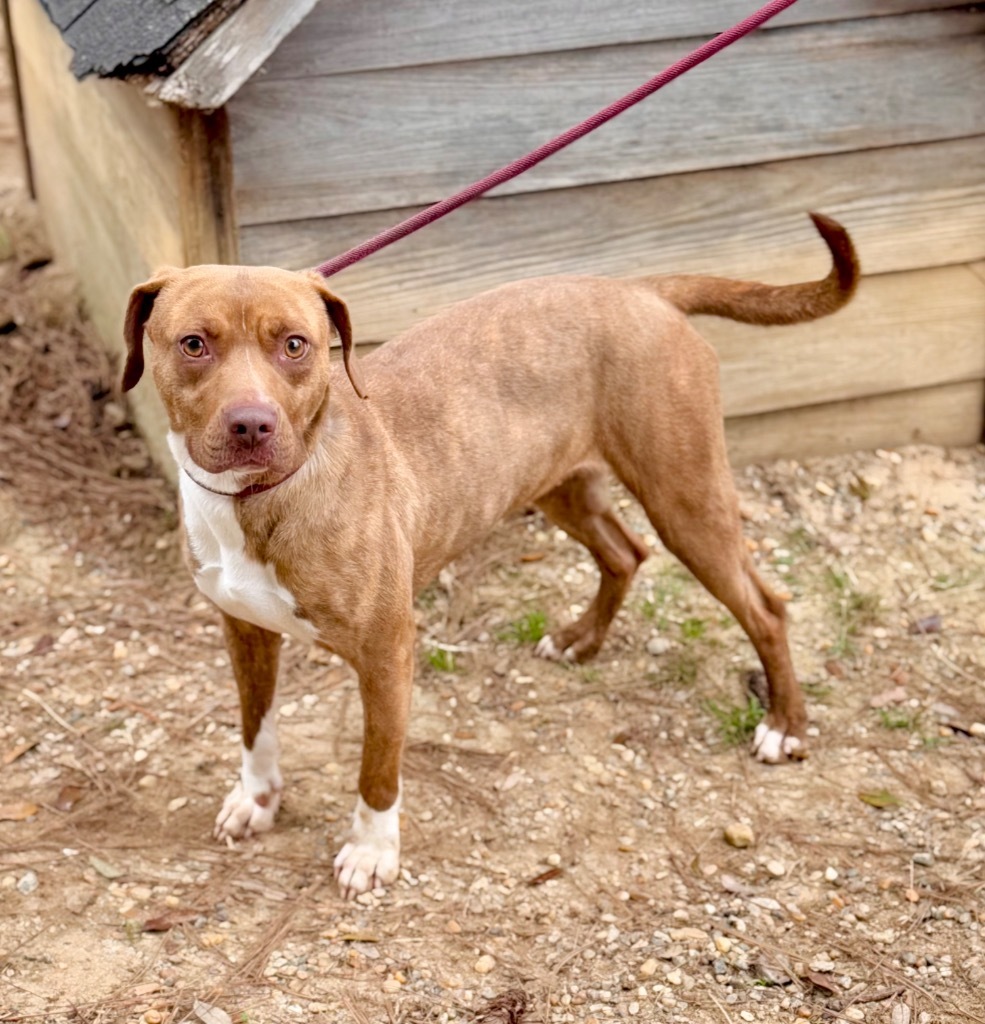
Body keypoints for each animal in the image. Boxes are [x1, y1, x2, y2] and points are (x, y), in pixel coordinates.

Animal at [122, 214, 855, 897]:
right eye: (193, 343)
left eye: (295, 345)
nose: (252, 424)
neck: (260, 498)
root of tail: (640, 289)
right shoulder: (244, 631)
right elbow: (257, 728)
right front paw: (257, 799)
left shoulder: (386, 651)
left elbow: (377, 766)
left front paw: (371, 850)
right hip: (560, 486)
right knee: (625, 553)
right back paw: (581, 639)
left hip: (686, 499)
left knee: (765, 607)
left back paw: (784, 726)